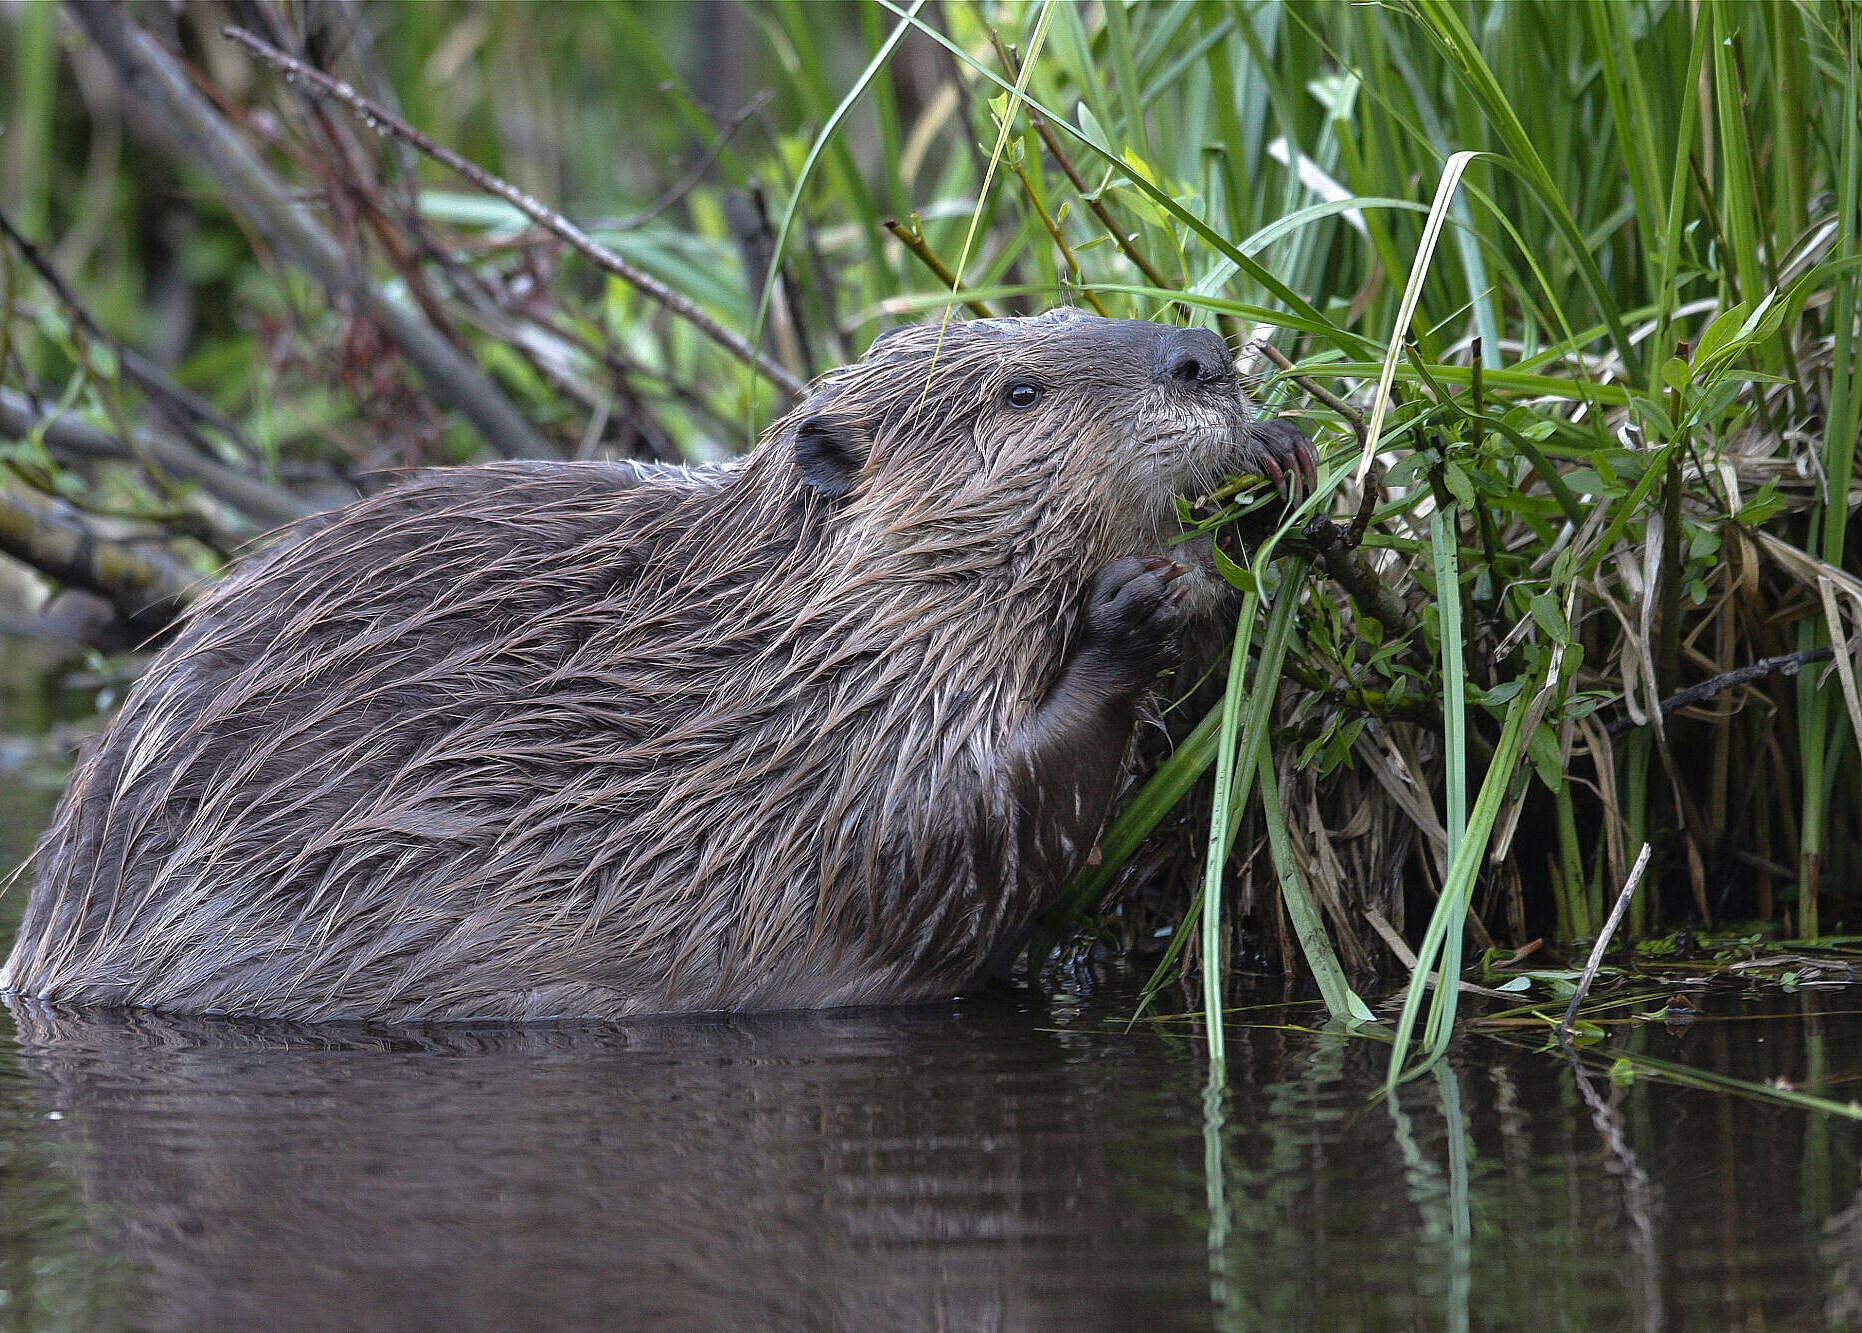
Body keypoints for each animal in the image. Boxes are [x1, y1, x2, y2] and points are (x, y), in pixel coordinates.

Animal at [0, 309, 1318, 1020]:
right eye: (1020, 388)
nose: (1201, 357)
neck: (766, 629)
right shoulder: (814, 743)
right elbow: (948, 840)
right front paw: (1134, 603)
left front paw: (1279, 457)